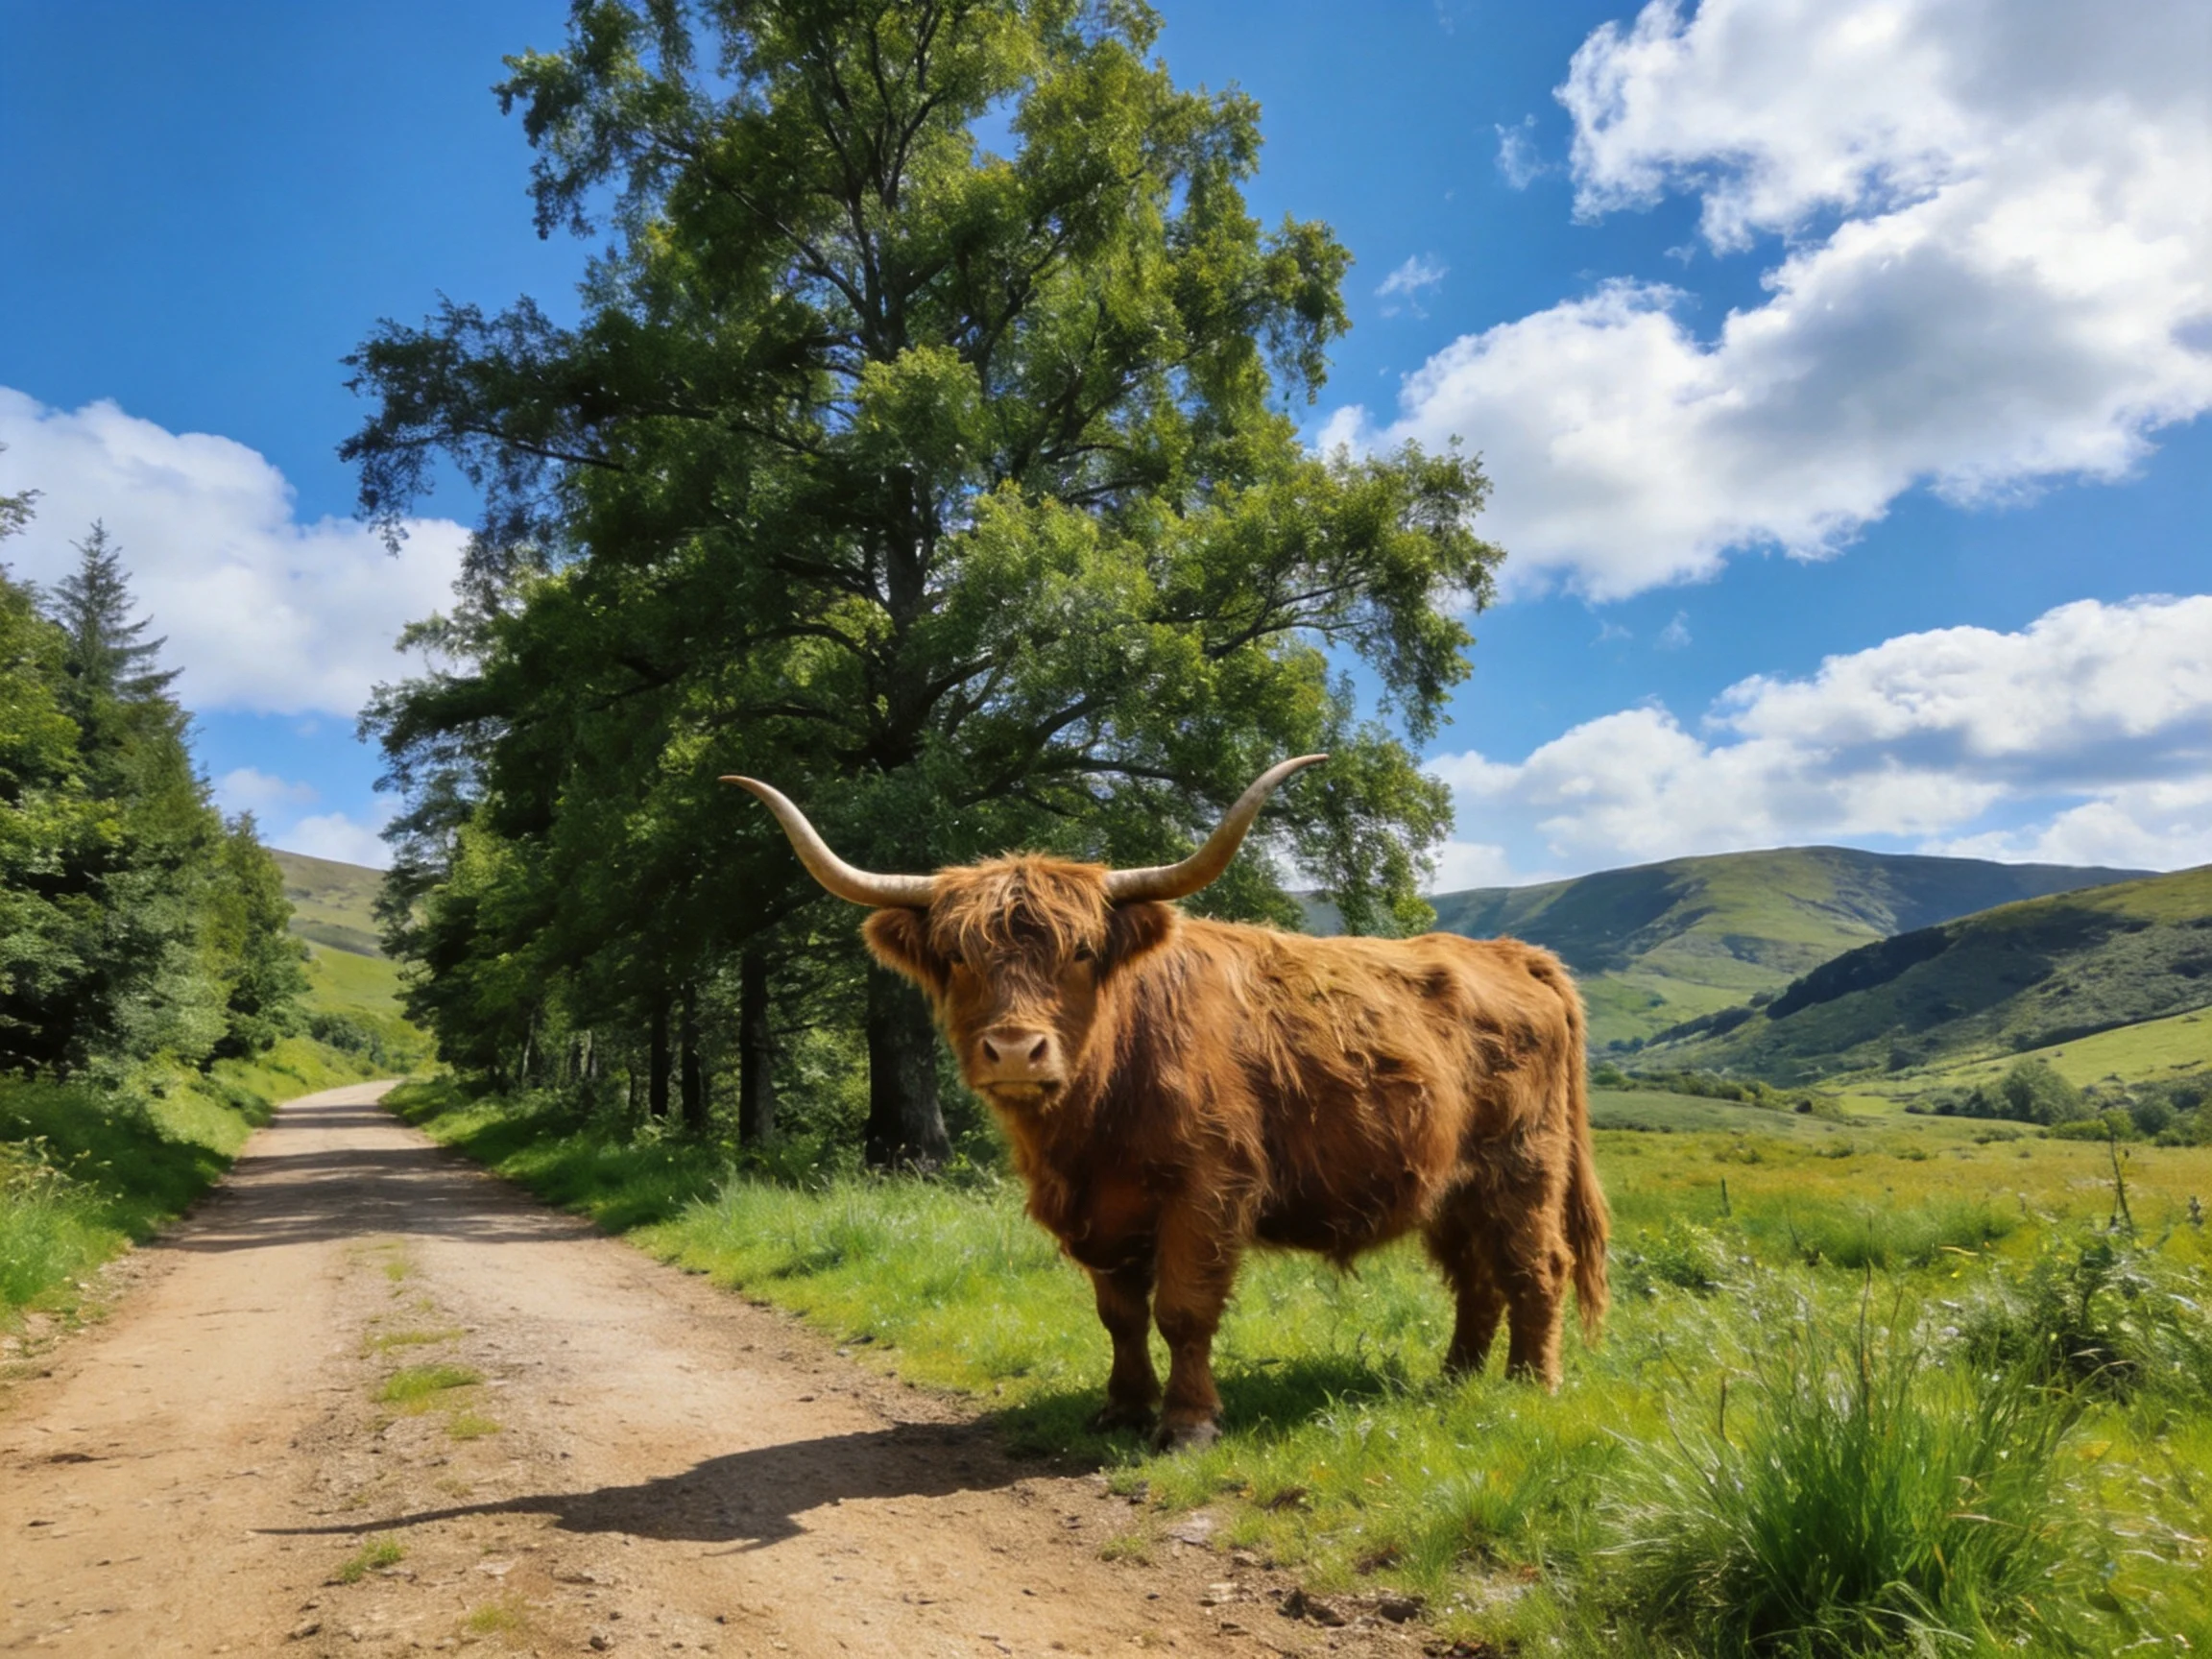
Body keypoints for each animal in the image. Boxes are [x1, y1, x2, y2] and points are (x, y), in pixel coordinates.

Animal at [726, 757, 1608, 1450]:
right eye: (957, 955)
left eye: (1083, 951)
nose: (1015, 1050)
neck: (1092, 1121)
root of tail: (1509, 954)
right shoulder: (1097, 1212)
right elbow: (1119, 1313)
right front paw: (1121, 1409)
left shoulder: (1208, 1190)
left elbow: (1184, 1310)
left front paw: (1187, 1423)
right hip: (1451, 1187)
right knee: (1476, 1279)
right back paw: (1453, 1381)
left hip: (1521, 1169)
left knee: (1536, 1269)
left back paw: (1529, 1390)